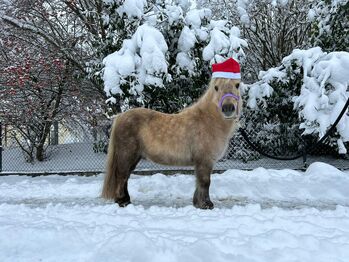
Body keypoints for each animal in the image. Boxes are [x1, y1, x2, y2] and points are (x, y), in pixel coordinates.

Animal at [102, 75, 241, 209]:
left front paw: (197, 203)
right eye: (216, 87)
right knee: (122, 176)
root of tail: (120, 116)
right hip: (127, 155)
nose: (228, 108)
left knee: (126, 177)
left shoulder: (201, 162)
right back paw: (122, 201)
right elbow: (205, 182)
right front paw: (206, 205)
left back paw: (126, 200)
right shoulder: (204, 160)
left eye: (237, 85)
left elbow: (198, 182)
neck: (208, 121)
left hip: (134, 157)